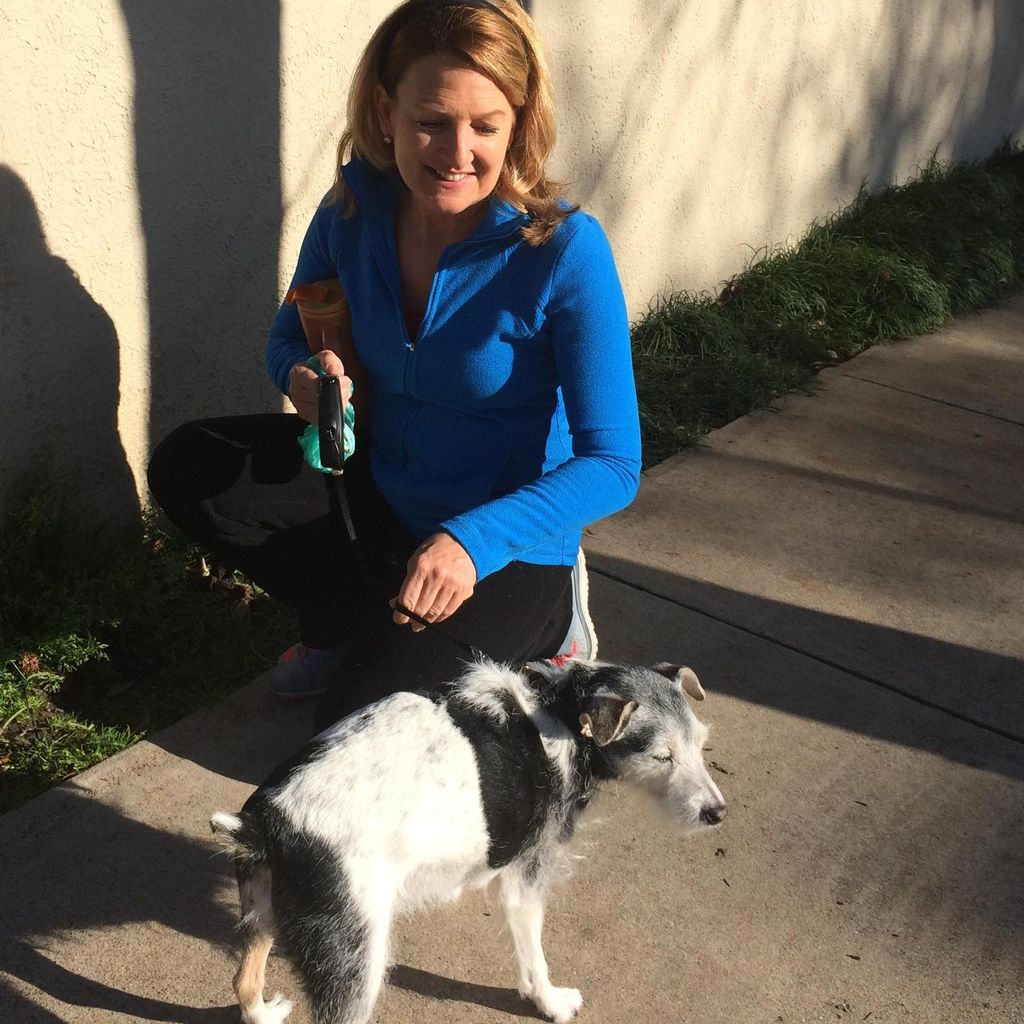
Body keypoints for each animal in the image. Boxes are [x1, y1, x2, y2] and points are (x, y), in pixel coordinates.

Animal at [211, 657, 726, 1024]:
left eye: (701, 744)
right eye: (661, 756)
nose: (717, 813)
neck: (561, 709)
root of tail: (267, 822)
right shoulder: (525, 885)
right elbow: (534, 961)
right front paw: (551, 1004)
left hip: (263, 908)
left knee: (243, 980)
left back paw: (262, 1012)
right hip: (353, 960)